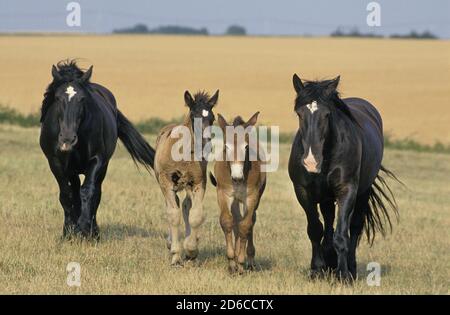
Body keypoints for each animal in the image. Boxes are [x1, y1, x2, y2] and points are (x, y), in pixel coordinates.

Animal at [40, 61, 156, 239]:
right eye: (58, 98)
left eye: (82, 99)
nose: (67, 139)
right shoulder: (55, 162)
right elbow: (66, 194)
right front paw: (68, 233)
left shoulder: (97, 160)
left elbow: (89, 192)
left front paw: (84, 229)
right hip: (72, 170)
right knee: (74, 190)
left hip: (103, 167)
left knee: (96, 193)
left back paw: (93, 232)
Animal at [211, 113, 268, 274]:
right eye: (226, 146)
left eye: (246, 147)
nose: (237, 178)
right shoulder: (223, 194)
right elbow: (227, 221)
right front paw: (232, 262)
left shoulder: (251, 197)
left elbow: (245, 225)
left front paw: (241, 263)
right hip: (235, 200)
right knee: (236, 219)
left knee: (250, 220)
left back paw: (250, 259)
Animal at [288, 73, 398, 282]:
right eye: (299, 114)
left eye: (327, 114)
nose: (311, 162)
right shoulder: (303, 192)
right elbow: (315, 229)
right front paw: (317, 270)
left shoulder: (347, 191)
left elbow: (342, 234)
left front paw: (343, 275)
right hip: (326, 196)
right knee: (328, 222)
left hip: (362, 192)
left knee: (354, 227)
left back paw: (350, 268)